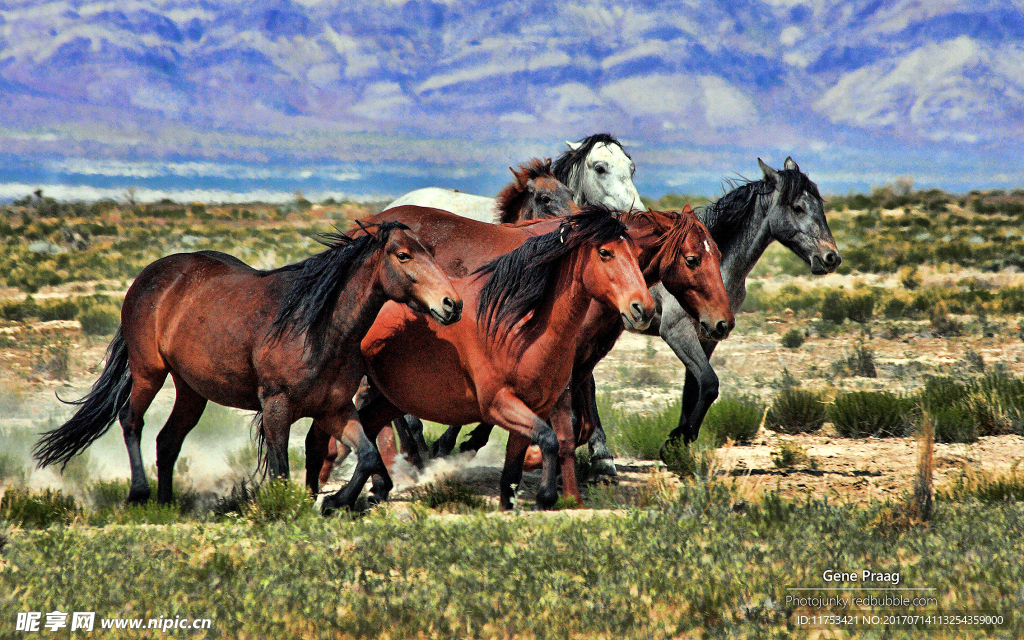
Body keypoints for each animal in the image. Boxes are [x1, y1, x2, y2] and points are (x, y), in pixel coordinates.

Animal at [35, 222, 460, 505]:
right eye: (403, 255)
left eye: (429, 252)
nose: (451, 304)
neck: (318, 327)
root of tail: (150, 276)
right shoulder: (276, 405)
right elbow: (281, 466)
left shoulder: (335, 409)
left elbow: (368, 454)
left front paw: (336, 502)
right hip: (148, 372)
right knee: (131, 420)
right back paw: (139, 494)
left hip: (191, 390)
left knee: (168, 439)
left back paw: (167, 502)